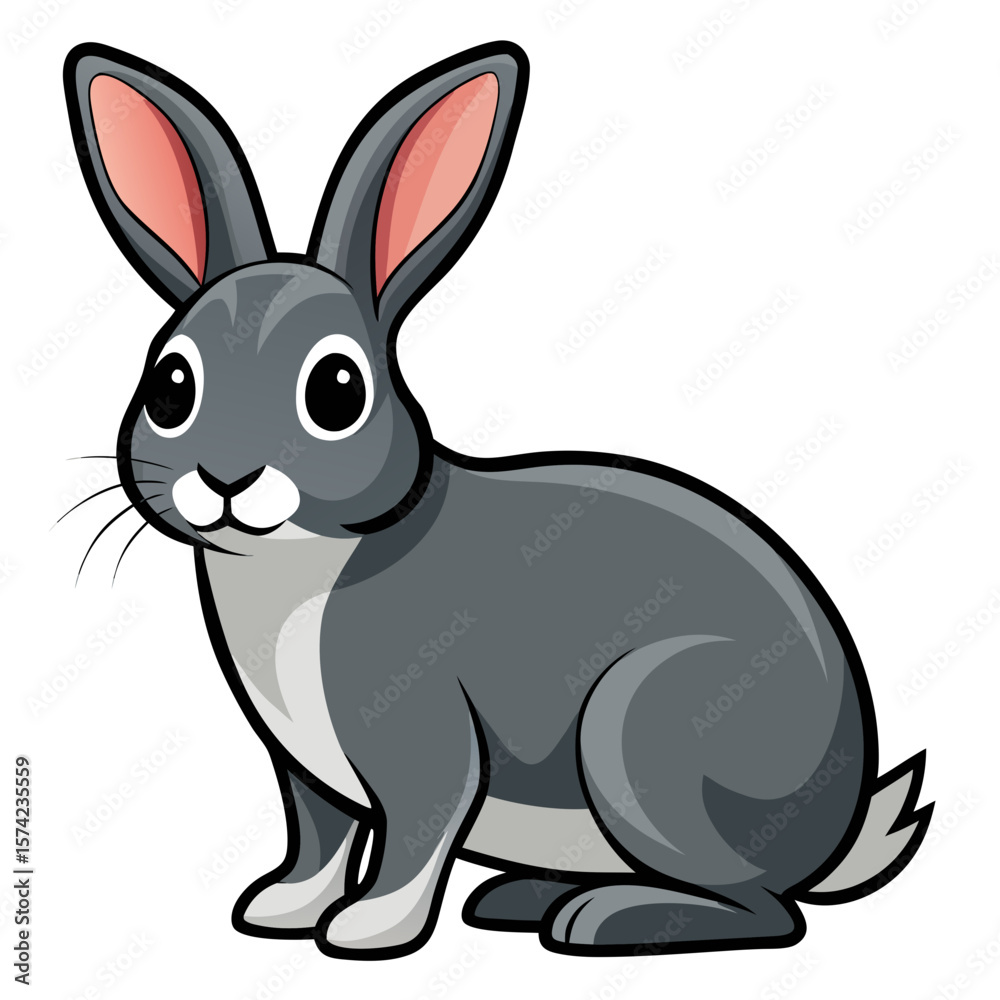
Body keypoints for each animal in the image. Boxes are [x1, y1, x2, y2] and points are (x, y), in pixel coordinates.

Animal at [64, 40, 932, 959]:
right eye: (171, 386)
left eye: (336, 391)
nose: (227, 479)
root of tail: (836, 829)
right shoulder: (305, 767)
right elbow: (321, 836)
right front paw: (281, 910)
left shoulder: (422, 737)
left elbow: (416, 832)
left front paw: (367, 929)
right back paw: (523, 899)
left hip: (642, 730)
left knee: (766, 911)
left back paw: (598, 920)